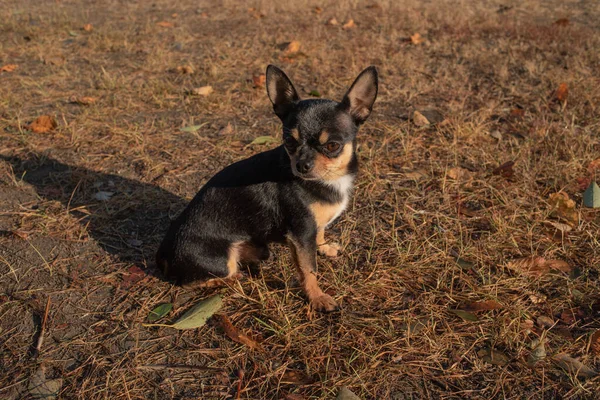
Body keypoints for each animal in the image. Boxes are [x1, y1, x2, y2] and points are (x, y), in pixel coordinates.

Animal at [157, 65, 378, 312]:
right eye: (289, 143)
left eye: (332, 146)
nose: (301, 165)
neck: (329, 180)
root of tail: (164, 254)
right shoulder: (301, 235)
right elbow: (309, 270)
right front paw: (317, 298)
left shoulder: (311, 229)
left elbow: (320, 233)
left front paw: (324, 247)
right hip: (220, 260)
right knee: (190, 281)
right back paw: (230, 279)